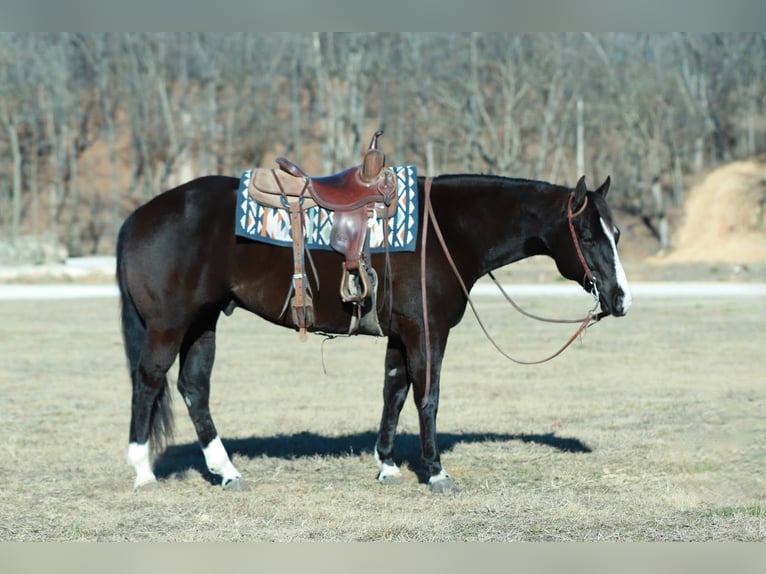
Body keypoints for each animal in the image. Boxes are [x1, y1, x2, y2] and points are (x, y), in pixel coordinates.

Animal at [116, 171, 632, 493]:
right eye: (588, 236)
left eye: (618, 234)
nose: (621, 298)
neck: (447, 230)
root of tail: (138, 216)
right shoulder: (427, 331)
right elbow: (428, 397)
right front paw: (436, 472)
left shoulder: (401, 334)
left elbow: (394, 392)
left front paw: (386, 464)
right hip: (168, 327)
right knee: (149, 383)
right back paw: (142, 470)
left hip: (203, 323)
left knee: (193, 389)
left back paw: (226, 472)